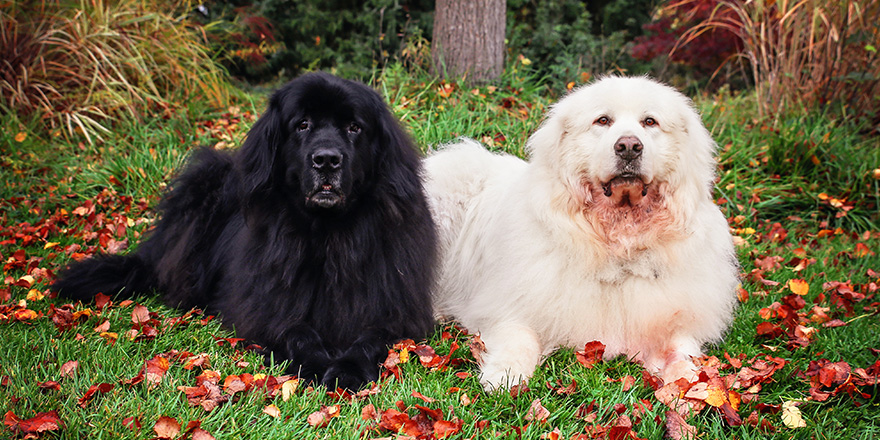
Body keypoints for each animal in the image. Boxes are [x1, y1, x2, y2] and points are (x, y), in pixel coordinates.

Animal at [53, 74, 438, 390]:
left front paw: (348, 368)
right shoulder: (265, 304)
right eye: (302, 125)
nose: (327, 159)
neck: (327, 233)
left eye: (354, 128)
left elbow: (371, 336)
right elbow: (296, 331)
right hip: (206, 183)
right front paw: (316, 364)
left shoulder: (394, 304)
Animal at [422, 76, 740, 392]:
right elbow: (520, 337)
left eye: (650, 122)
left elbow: (681, 352)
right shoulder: (508, 304)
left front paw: (694, 383)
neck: (617, 243)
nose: (628, 146)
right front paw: (505, 374)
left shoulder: (674, 319)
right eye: (603, 120)